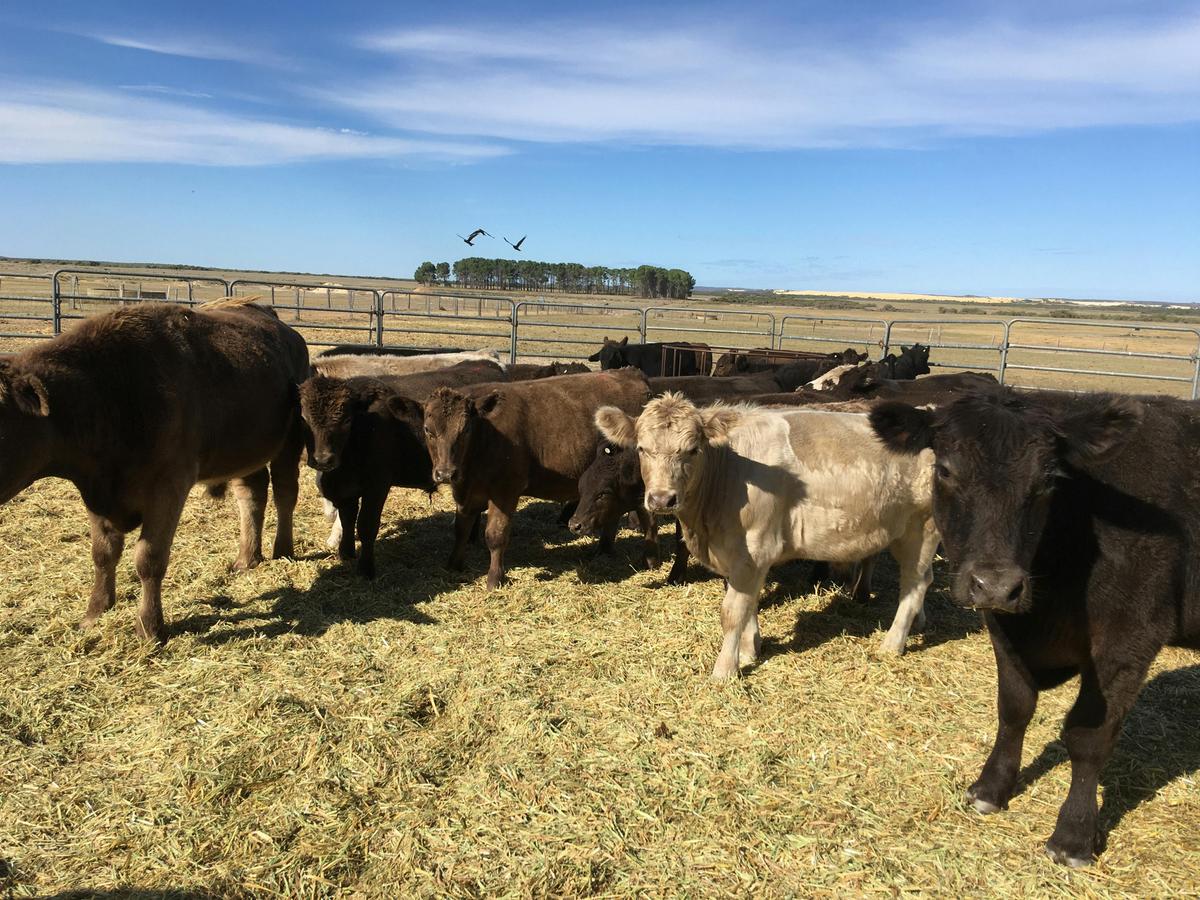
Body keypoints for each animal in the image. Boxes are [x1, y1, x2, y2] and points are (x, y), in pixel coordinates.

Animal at [0, 299, 308, 642]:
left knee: (285, 492)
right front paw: (95, 614)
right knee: (252, 494)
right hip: (244, 450)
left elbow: (149, 558)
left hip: (289, 441)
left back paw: (283, 549)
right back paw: (246, 558)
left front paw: (149, 627)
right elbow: (103, 553)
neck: (111, 392)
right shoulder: (95, 490)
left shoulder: (169, 485)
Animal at [423, 369, 650, 589]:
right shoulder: (466, 493)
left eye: (466, 429)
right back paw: (603, 550)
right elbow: (461, 529)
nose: (446, 473)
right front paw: (454, 564)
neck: (484, 437)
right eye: (427, 429)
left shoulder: (505, 491)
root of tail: (631, 372)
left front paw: (495, 578)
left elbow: (496, 535)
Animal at [596, 394, 940, 677]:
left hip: (921, 527)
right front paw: (749, 652)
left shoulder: (755, 548)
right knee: (924, 579)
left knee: (913, 583)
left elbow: (733, 612)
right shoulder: (739, 556)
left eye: (692, 449)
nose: (661, 499)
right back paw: (919, 623)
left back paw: (892, 644)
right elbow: (748, 605)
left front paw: (725, 670)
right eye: (642, 448)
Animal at [870, 387, 1200, 866]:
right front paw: (991, 788)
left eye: (1047, 480)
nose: (995, 584)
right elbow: (1014, 707)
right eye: (945, 469)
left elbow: (1088, 735)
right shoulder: (1005, 630)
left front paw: (1074, 835)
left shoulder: (1130, 638)